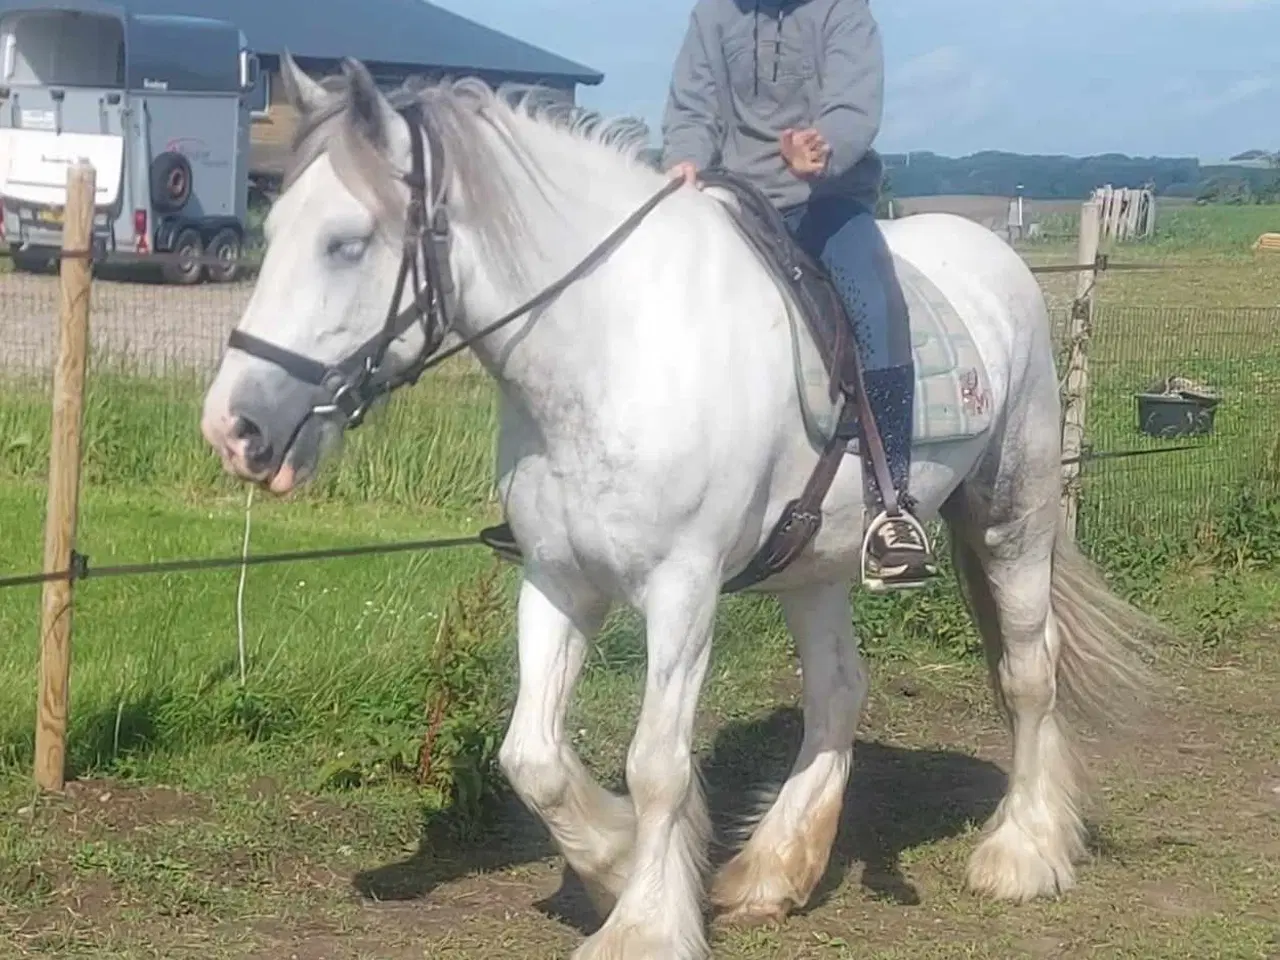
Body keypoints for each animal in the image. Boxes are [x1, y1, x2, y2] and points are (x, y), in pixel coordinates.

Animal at [197, 56, 1162, 957]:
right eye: (272, 230)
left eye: (347, 243)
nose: (233, 428)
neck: (611, 347)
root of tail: (997, 260)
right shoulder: (558, 579)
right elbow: (531, 757)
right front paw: (619, 863)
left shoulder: (682, 590)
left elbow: (657, 763)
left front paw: (643, 925)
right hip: (815, 565)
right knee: (839, 692)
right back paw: (774, 870)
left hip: (1012, 520)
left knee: (1029, 673)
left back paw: (1022, 854)